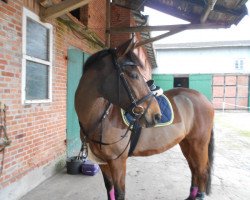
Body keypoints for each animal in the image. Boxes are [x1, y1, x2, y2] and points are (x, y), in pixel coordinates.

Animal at [74, 39, 213, 200]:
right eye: (134, 75)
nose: (156, 115)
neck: (101, 118)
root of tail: (204, 99)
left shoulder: (117, 162)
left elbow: (120, 193)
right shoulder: (103, 163)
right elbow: (110, 190)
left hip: (199, 144)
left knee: (202, 170)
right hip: (186, 142)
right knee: (194, 168)